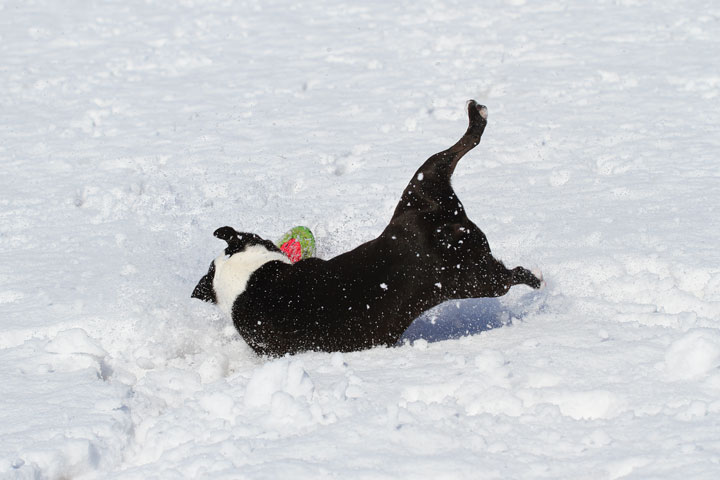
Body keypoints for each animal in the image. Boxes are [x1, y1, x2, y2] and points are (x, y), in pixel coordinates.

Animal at [194, 100, 544, 356]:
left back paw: (537, 279)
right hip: (422, 185)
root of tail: (437, 225)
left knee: (513, 275)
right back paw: (477, 115)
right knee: (459, 147)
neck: (249, 276)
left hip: (471, 279)